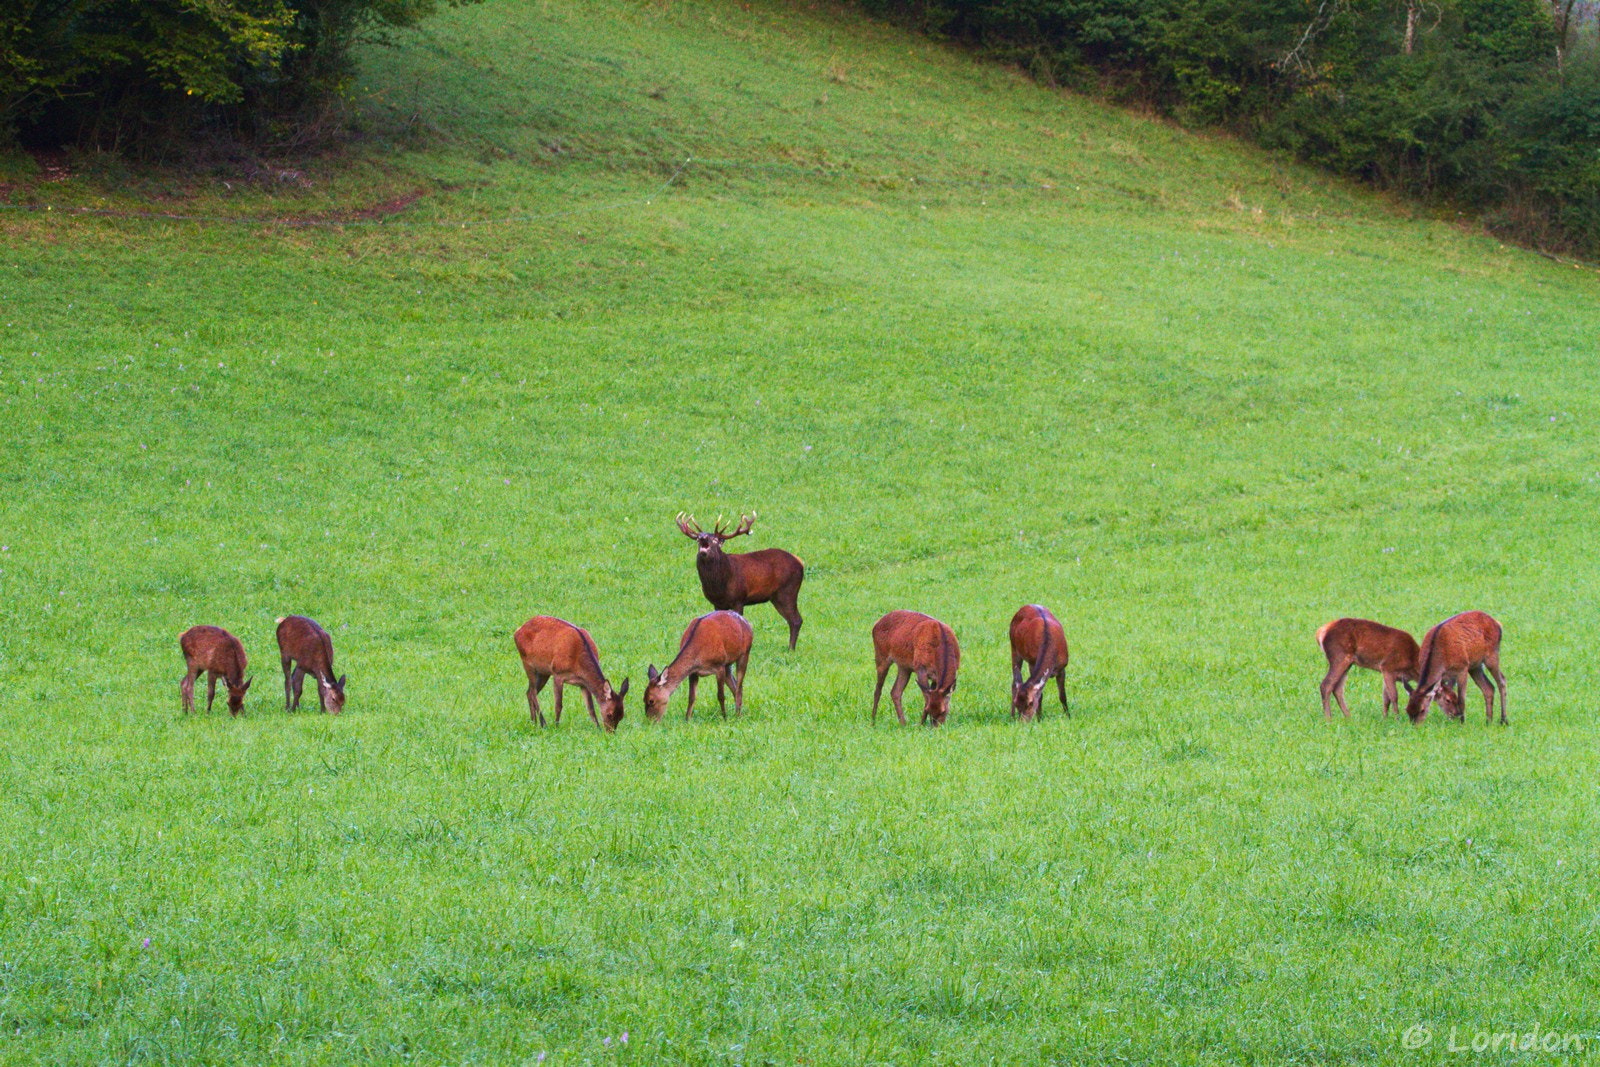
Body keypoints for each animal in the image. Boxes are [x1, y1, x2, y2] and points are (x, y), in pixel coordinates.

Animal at [675, 511, 806, 652]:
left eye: (715, 539)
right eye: (698, 539)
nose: (702, 536)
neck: (719, 584)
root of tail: (800, 562)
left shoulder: (738, 599)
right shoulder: (716, 603)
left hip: (788, 590)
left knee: (796, 620)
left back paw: (791, 650)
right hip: (776, 597)